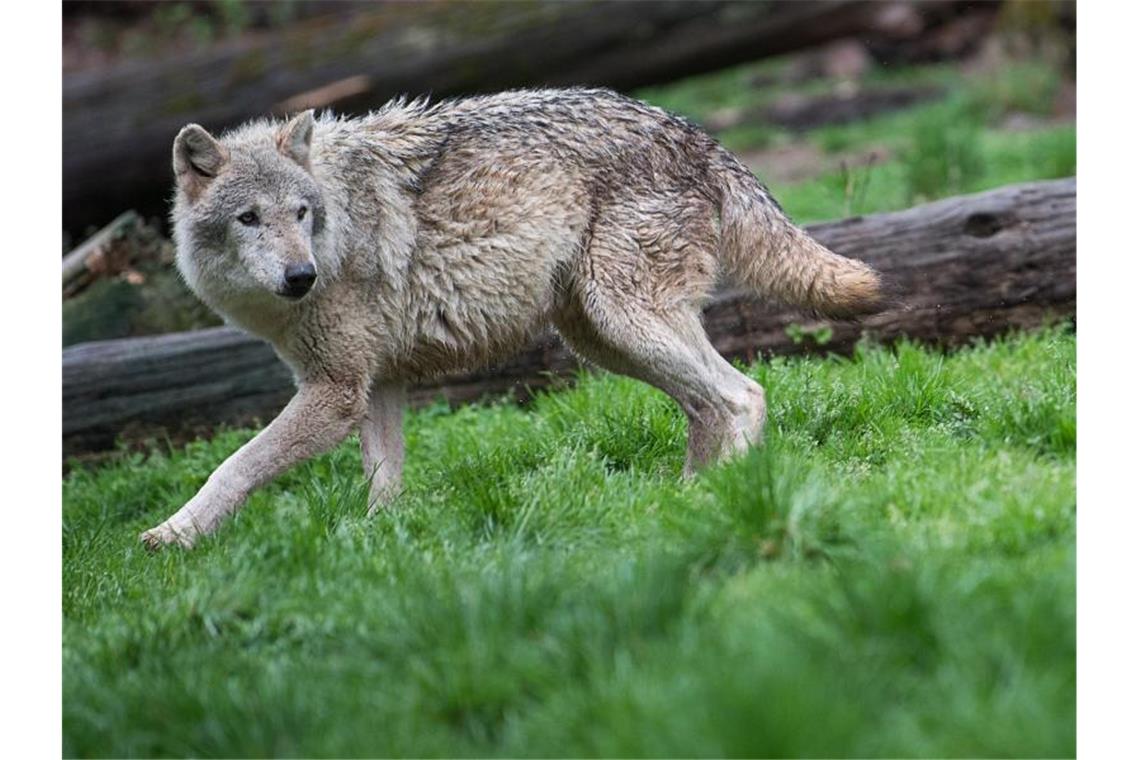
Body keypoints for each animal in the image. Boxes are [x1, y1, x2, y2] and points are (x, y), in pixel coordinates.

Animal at [140, 89, 880, 549]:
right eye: (249, 218)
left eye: (301, 213)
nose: (302, 277)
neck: (337, 223)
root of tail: (694, 133)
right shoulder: (377, 386)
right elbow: (383, 486)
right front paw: (380, 550)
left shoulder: (335, 393)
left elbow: (234, 465)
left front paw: (172, 536)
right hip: (603, 341)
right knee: (707, 408)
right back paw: (687, 499)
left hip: (623, 322)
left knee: (743, 394)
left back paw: (725, 498)